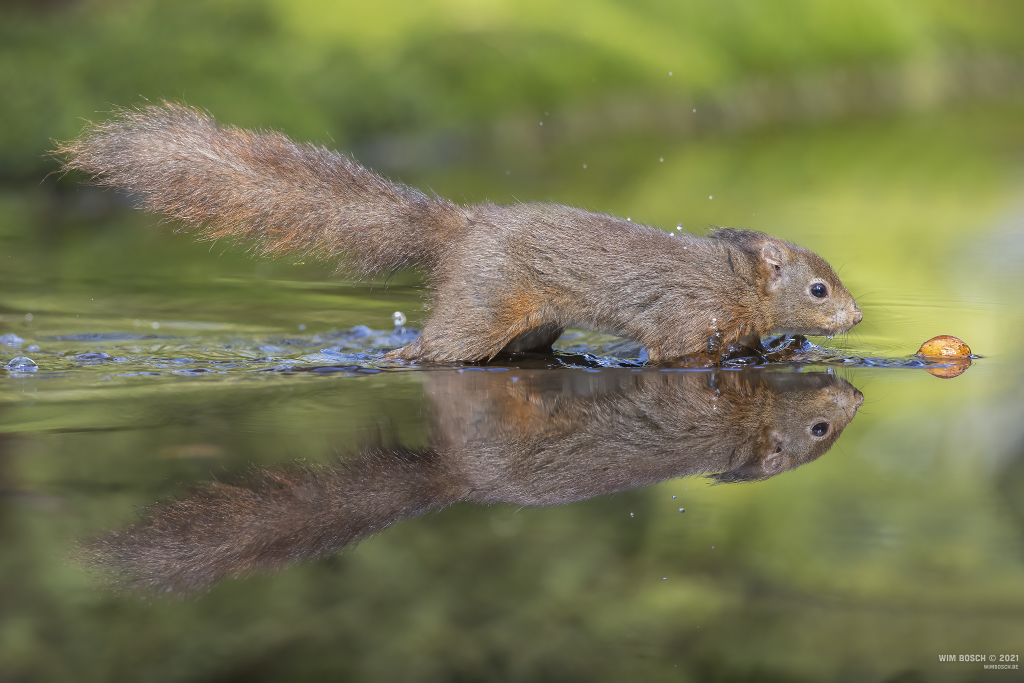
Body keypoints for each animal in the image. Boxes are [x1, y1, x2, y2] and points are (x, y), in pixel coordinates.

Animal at [51, 101, 860, 362]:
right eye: (820, 288)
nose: (857, 316)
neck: (732, 280)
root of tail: (465, 228)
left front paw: (785, 349)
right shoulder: (683, 320)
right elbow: (677, 355)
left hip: (529, 323)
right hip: (484, 305)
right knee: (433, 348)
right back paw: (394, 360)